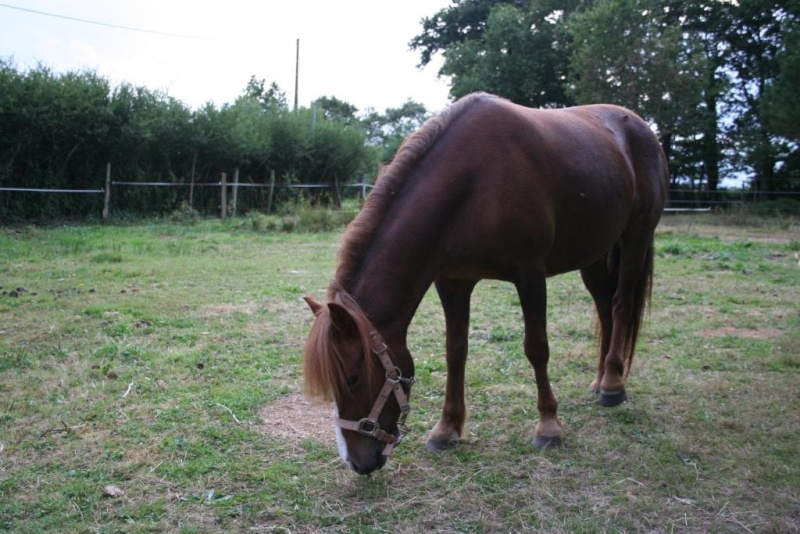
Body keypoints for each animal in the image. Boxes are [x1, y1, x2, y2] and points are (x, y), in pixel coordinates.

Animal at [300, 93, 668, 478]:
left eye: (353, 378)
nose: (359, 463)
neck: (473, 183)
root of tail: (641, 127)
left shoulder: (530, 275)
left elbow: (536, 348)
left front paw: (548, 425)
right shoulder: (453, 281)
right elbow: (455, 351)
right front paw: (446, 429)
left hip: (636, 237)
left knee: (621, 305)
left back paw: (613, 385)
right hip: (593, 254)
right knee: (604, 307)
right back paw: (600, 380)